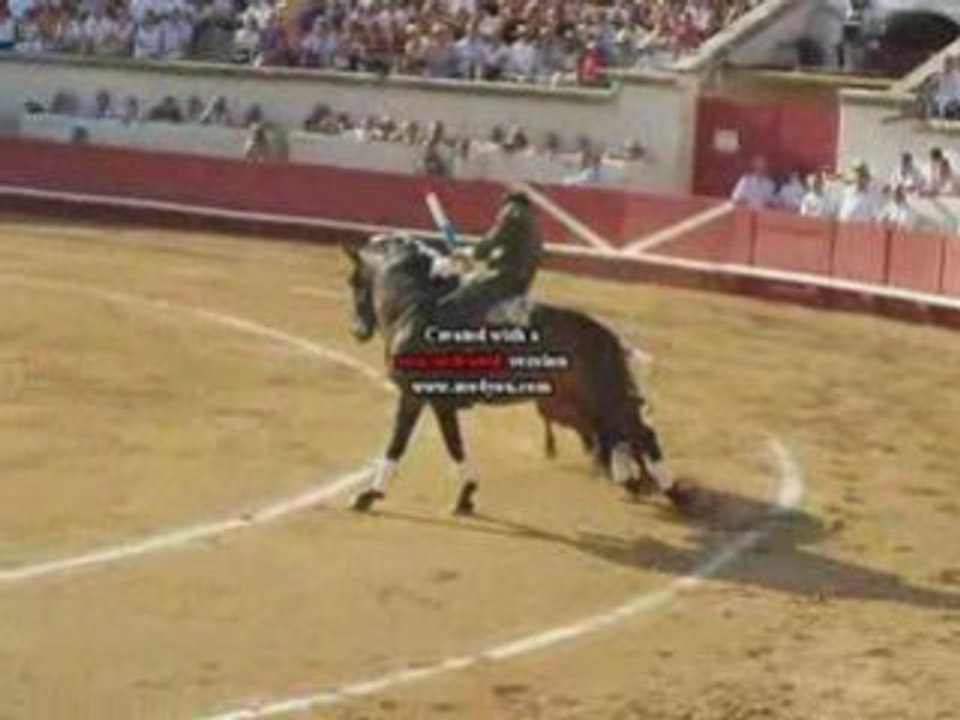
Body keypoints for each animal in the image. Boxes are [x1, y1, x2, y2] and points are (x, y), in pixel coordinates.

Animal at [342, 233, 694, 515]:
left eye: (354, 281)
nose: (357, 331)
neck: (416, 309)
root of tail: (607, 335)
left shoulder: (413, 395)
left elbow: (398, 444)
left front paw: (367, 495)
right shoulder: (439, 402)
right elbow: (454, 445)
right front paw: (466, 496)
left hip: (603, 398)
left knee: (641, 433)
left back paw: (674, 494)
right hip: (567, 405)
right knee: (613, 435)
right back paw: (633, 482)